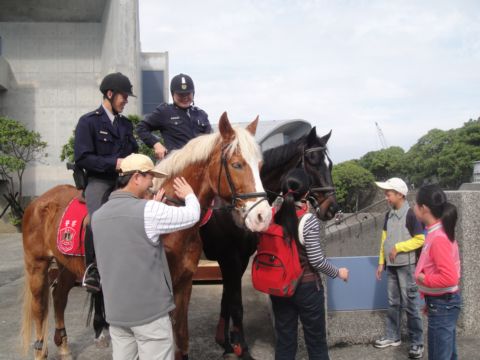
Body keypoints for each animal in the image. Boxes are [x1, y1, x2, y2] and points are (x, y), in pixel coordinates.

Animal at [20, 113, 272, 360]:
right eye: (237, 164)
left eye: (260, 165)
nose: (263, 216)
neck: (172, 216)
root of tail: (38, 201)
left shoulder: (184, 283)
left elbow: (182, 336)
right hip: (37, 265)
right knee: (39, 308)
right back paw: (42, 350)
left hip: (65, 265)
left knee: (58, 297)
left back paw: (64, 348)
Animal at [201, 126, 340, 358]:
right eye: (312, 162)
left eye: (329, 165)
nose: (332, 208)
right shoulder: (229, 258)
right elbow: (236, 304)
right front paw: (242, 348)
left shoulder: (240, 259)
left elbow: (227, 300)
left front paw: (227, 342)